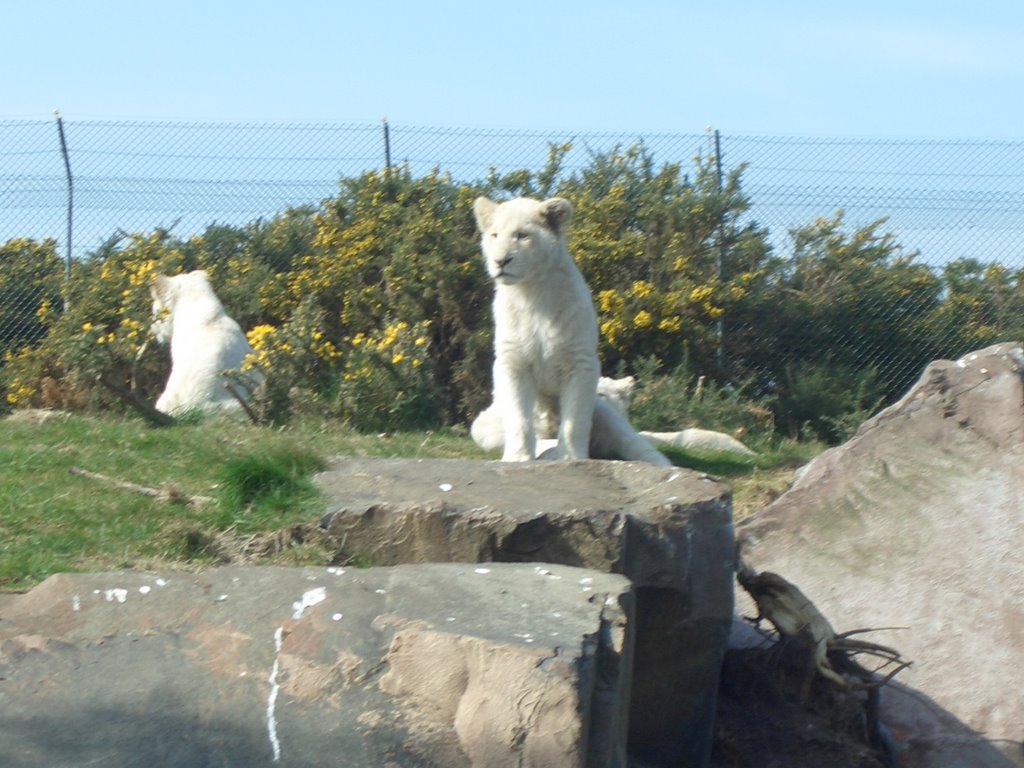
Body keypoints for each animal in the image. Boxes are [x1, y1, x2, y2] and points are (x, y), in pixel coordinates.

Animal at [468, 195, 671, 466]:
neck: (531, 292)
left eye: (522, 235)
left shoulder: (580, 360)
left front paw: (571, 457)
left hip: (606, 412)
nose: (500, 261)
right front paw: (518, 457)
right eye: (494, 235)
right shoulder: (512, 360)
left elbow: (575, 419)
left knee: (635, 443)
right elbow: (518, 417)